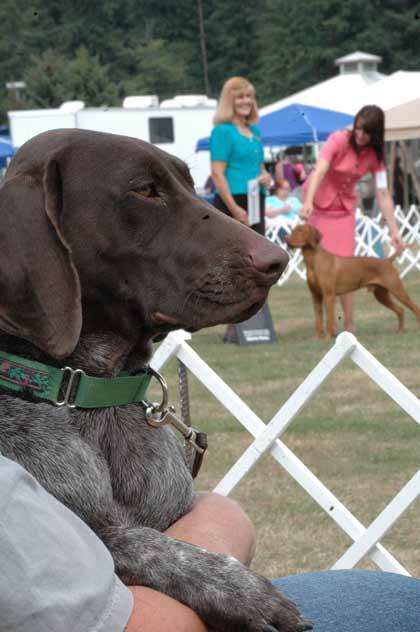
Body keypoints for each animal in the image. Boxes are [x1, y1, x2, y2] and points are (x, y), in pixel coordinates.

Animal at [286, 223, 420, 338]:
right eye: (292, 230)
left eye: (301, 231)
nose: (286, 239)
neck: (313, 261)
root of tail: (387, 261)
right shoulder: (316, 296)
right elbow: (318, 320)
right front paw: (317, 339)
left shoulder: (329, 296)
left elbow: (329, 320)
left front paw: (328, 338)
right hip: (381, 295)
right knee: (400, 310)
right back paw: (400, 330)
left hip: (397, 290)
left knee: (415, 308)